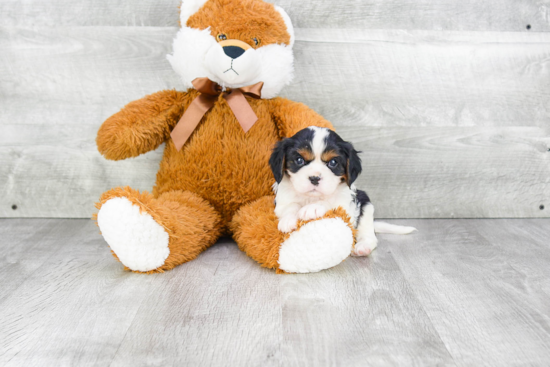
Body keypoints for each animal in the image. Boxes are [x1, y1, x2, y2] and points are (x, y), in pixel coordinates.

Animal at [270, 128, 416, 258]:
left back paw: (363, 247)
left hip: (366, 206)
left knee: (369, 236)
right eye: (299, 160)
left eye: (333, 162)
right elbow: (290, 206)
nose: (315, 178)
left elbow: (329, 202)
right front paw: (288, 220)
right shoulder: (282, 200)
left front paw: (312, 208)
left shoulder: (346, 206)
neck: (312, 197)